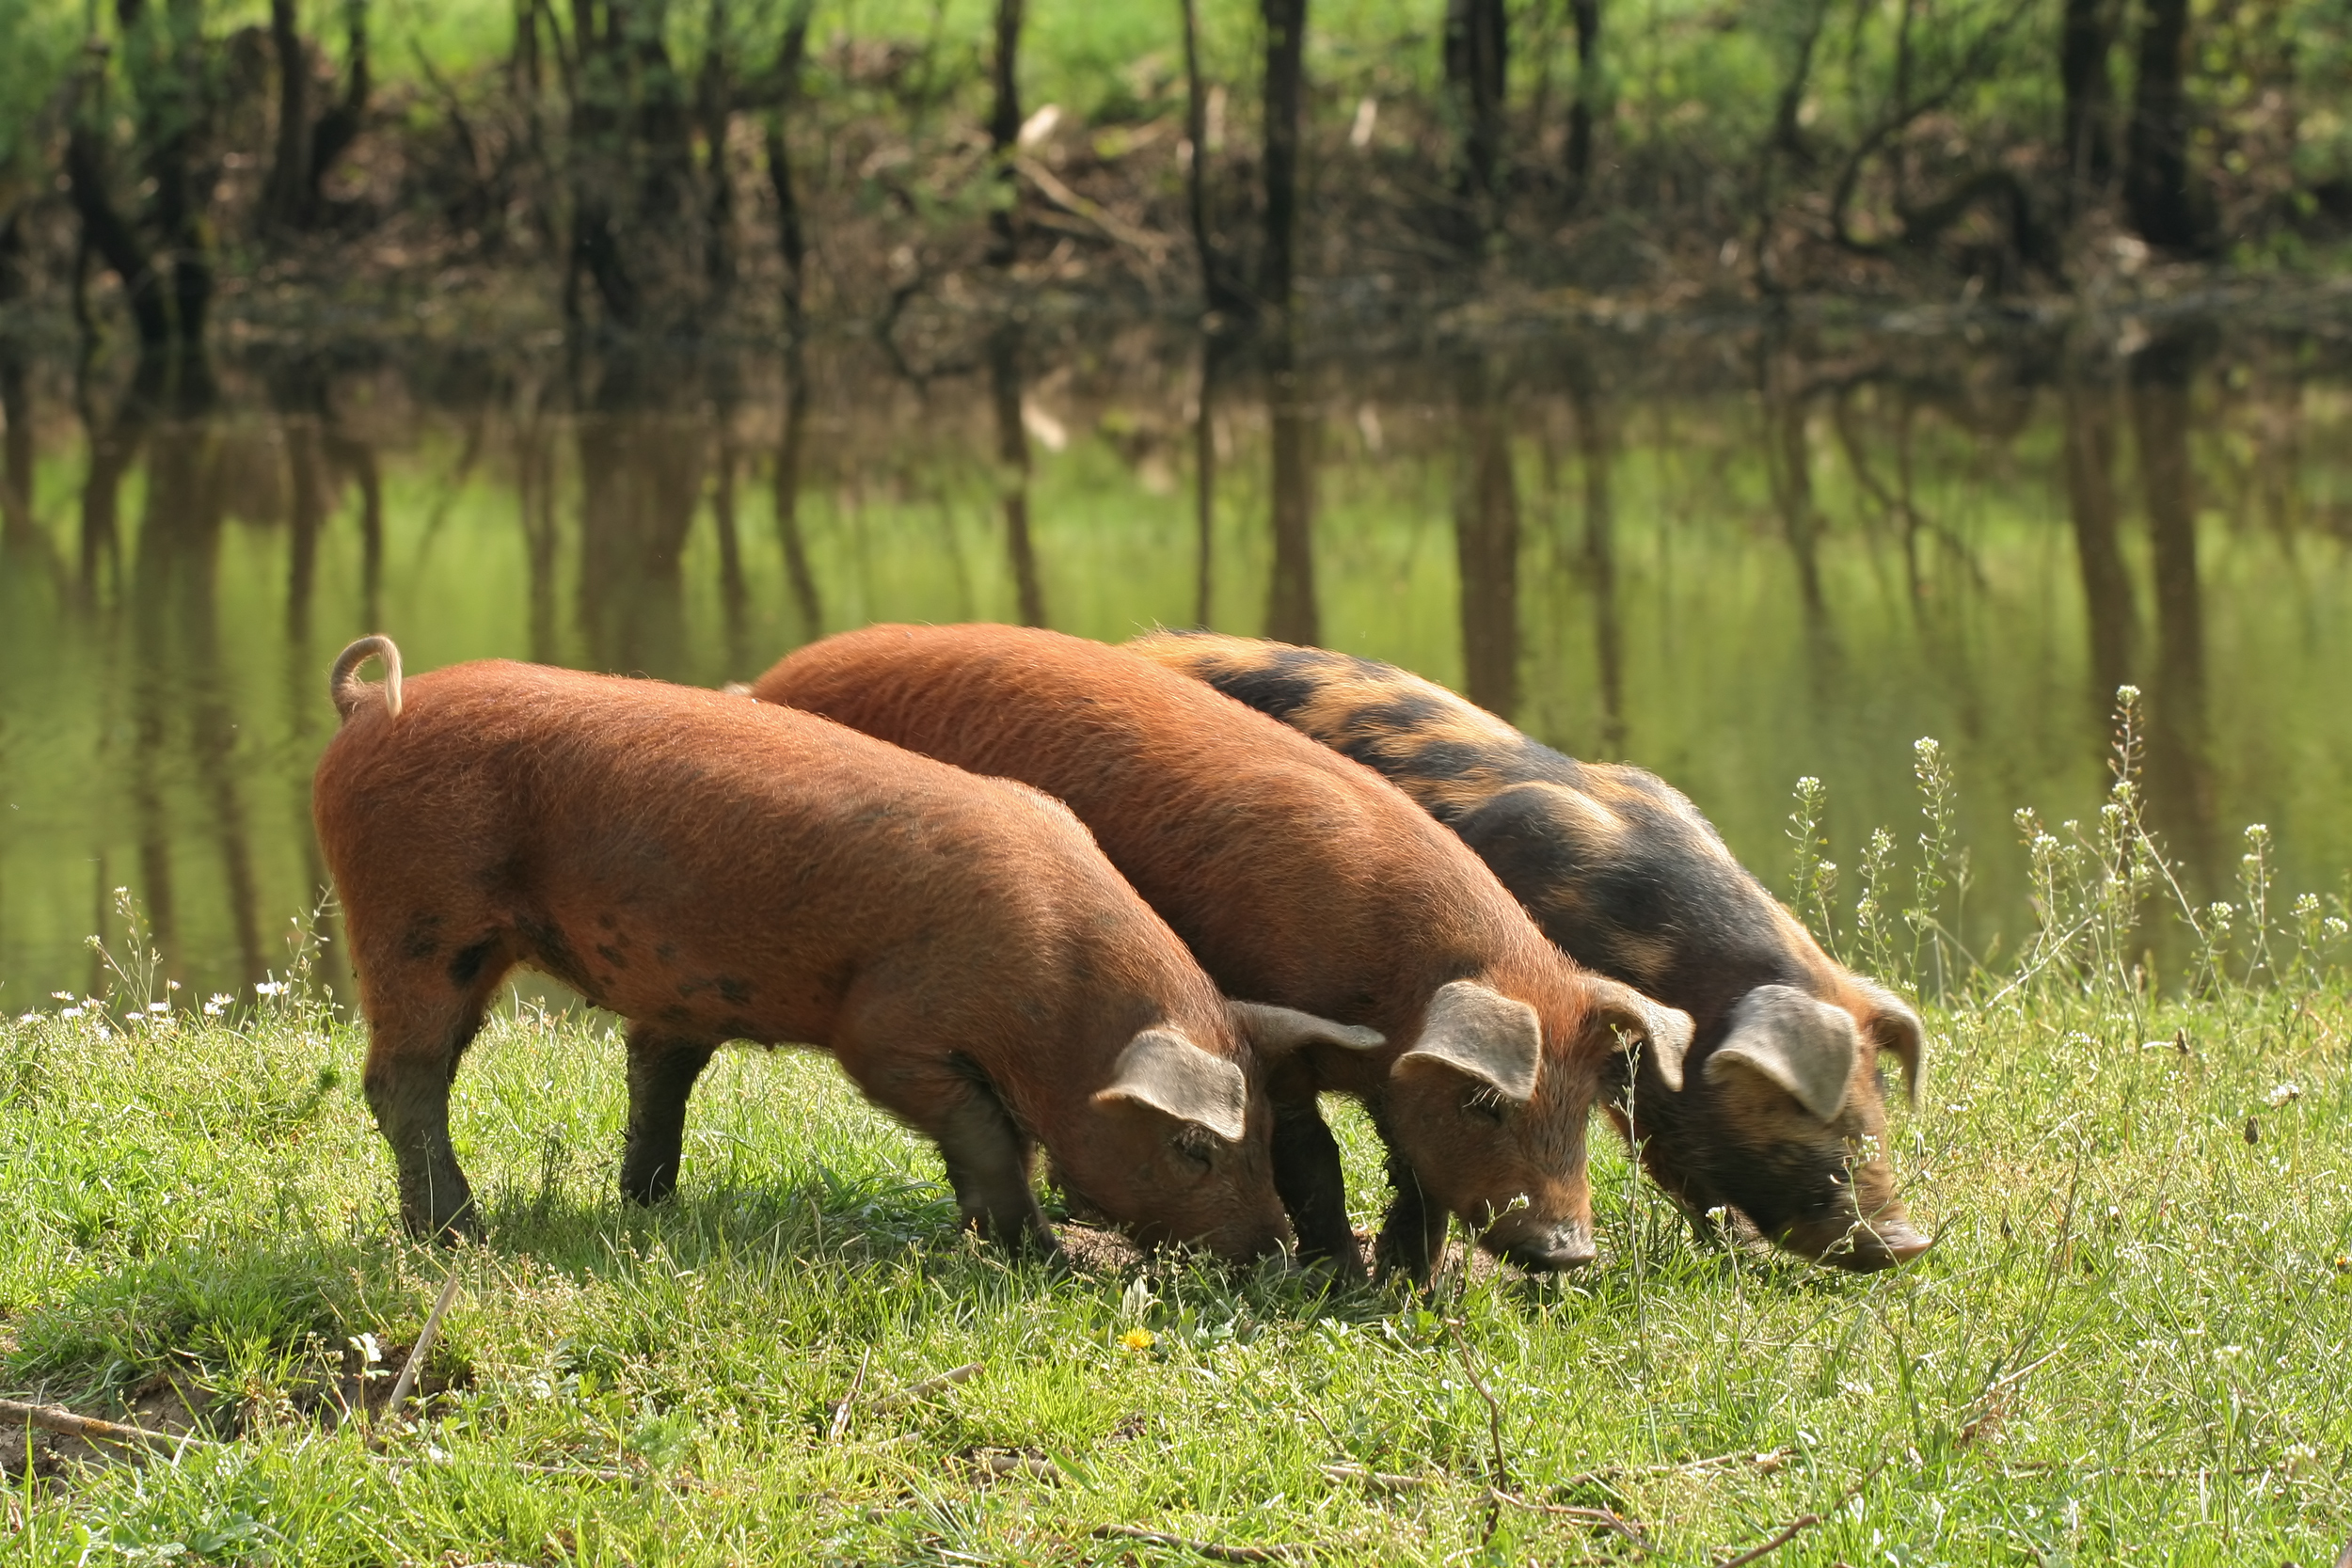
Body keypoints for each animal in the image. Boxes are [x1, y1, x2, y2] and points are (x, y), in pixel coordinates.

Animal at [311, 635, 1377, 1261]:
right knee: (403, 1077)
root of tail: (364, 708)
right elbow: (987, 1130)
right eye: (1194, 1144)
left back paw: (645, 1208)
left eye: (1265, 1133)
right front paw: (1040, 1253)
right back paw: (460, 1236)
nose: (1272, 1248)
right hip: (413, 917)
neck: (1057, 998)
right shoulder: (888, 1030)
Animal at [749, 624, 1693, 1286]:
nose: (1568, 1250)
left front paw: (1410, 1284)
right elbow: (1314, 1156)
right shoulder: (1272, 1037)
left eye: (1586, 1105)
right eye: (1486, 1104)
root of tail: (768, 680)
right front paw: (1338, 1275)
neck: (1386, 981)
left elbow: (1415, 1172)